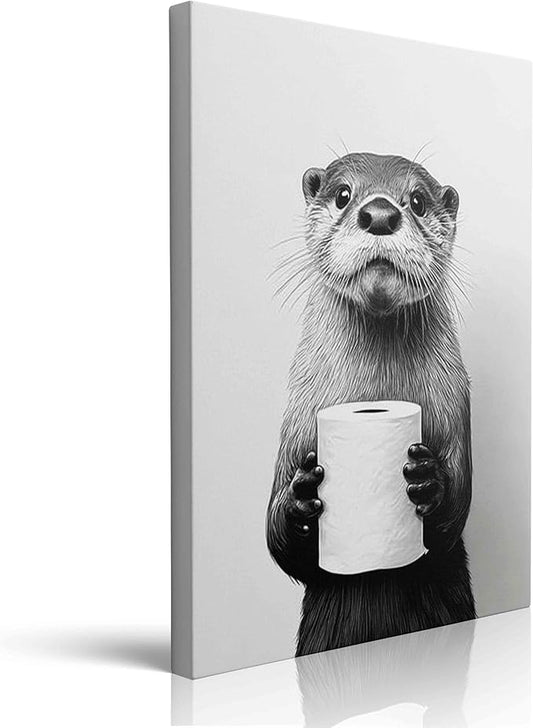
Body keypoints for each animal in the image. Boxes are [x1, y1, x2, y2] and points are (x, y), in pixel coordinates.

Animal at [266, 152, 476, 658]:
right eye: (343, 194)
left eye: (417, 200)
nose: (379, 213)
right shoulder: (296, 422)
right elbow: (279, 544)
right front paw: (301, 495)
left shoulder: (456, 407)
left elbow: (454, 515)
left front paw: (427, 479)